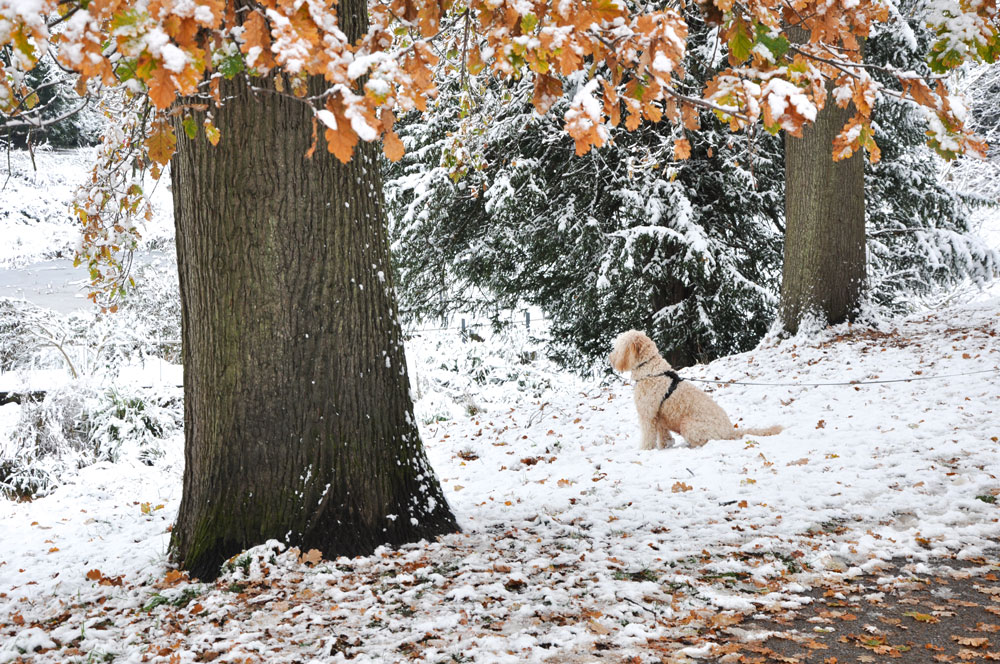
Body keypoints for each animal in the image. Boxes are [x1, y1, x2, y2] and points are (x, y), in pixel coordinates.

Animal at [604, 330, 784, 448]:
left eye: (618, 347)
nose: (610, 358)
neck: (650, 370)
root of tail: (730, 431)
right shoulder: (658, 415)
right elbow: (664, 435)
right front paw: (666, 445)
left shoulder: (647, 414)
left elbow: (648, 436)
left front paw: (644, 450)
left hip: (689, 425)